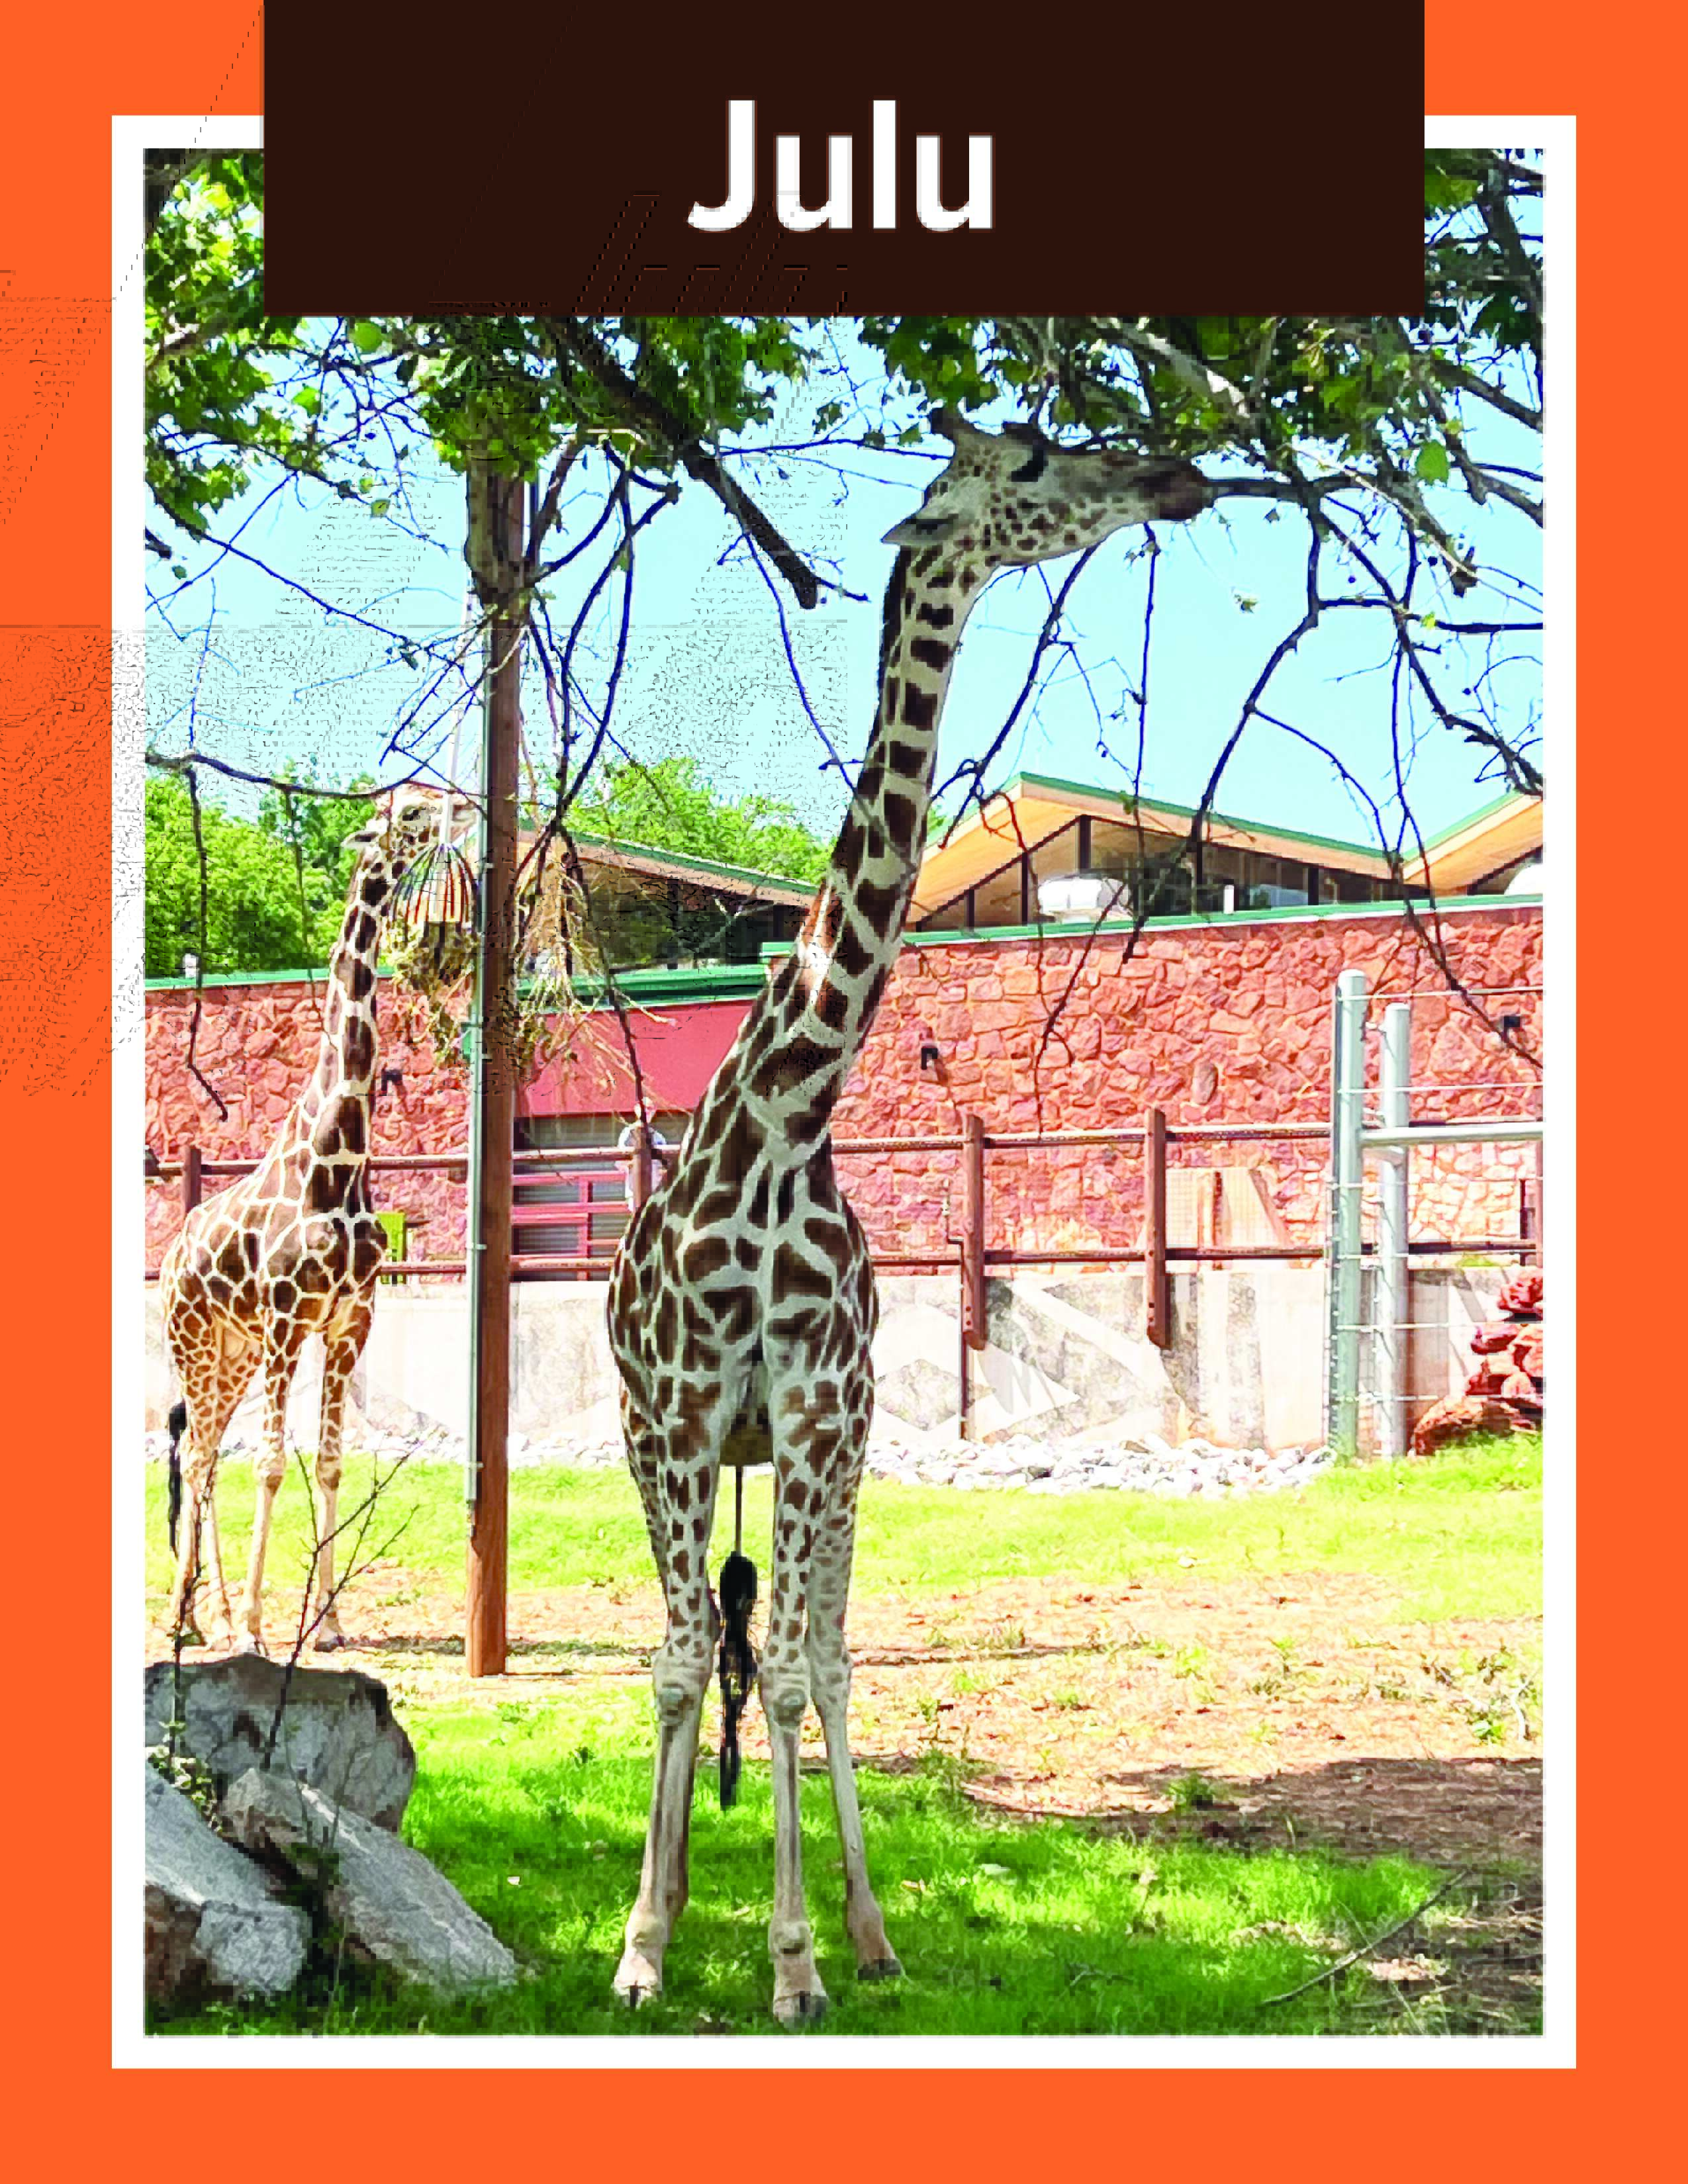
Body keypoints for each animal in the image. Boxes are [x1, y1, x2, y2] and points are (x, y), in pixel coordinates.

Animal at [159, 791, 444, 1655]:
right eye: (403, 811)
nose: (454, 806)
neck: (337, 1161)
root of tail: (172, 1254)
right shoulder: (290, 1320)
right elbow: (272, 1466)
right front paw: (260, 1625)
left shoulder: (350, 1321)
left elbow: (328, 1463)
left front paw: (331, 1623)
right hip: (195, 1342)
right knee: (204, 1456)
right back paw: (201, 1619)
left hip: (235, 1352)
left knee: (209, 1452)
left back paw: (203, 1615)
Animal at [604, 409, 1214, 2023]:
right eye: (1029, 462)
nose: (1173, 474)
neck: (783, 1116)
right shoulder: (680, 1411)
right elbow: (683, 1663)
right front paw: (643, 1945)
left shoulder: (824, 1407)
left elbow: (801, 1668)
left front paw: (802, 1961)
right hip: (686, 1444)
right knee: (703, 1646)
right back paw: (669, 1910)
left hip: (840, 1443)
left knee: (816, 1646)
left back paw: (869, 1933)